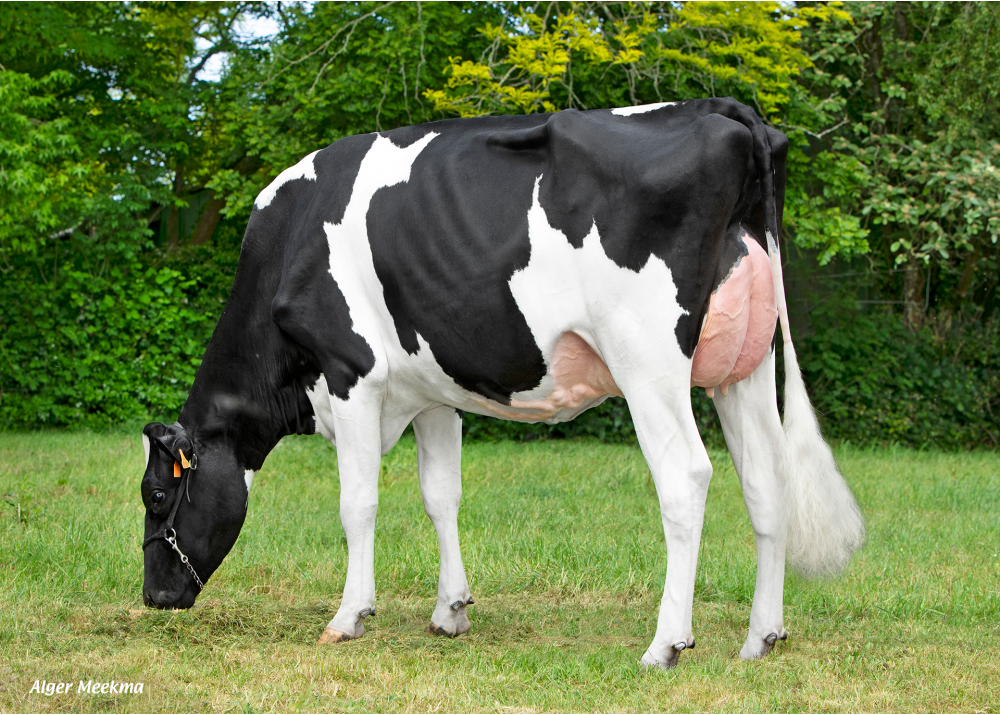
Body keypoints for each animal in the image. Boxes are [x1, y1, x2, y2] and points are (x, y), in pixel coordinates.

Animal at [140, 97, 864, 669]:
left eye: (156, 495)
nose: (154, 596)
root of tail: (724, 110)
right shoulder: (431, 390)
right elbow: (441, 496)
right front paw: (450, 609)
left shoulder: (353, 375)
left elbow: (358, 503)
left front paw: (349, 617)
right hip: (743, 367)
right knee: (765, 479)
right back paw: (761, 637)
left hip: (648, 358)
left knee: (685, 477)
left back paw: (665, 644)